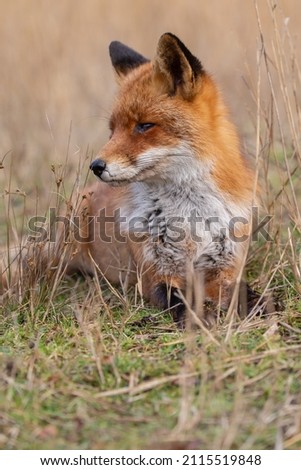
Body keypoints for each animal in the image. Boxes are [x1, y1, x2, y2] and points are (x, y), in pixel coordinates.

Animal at [1, 33, 256, 324]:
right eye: (112, 130)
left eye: (144, 125)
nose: (96, 166)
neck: (188, 215)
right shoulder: (154, 273)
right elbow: (179, 301)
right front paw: (199, 320)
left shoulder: (224, 267)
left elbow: (252, 296)